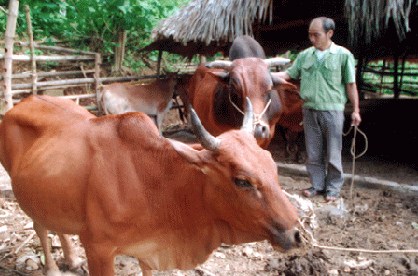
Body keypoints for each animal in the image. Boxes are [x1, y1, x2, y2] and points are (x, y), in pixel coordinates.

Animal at [0, 95, 300, 276]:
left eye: (272, 165)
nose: (296, 234)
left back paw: (72, 259)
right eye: (242, 181)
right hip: (25, 195)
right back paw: (52, 268)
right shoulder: (98, 249)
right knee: (39, 226)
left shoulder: (149, 247)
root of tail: (22, 102)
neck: (154, 182)